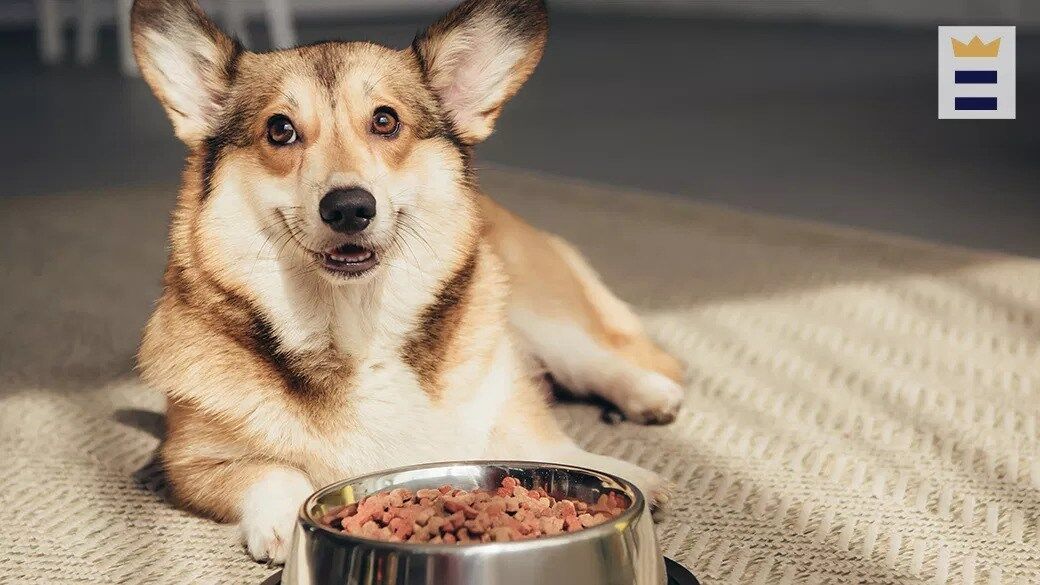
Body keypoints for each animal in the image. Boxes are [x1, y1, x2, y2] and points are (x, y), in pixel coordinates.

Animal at [132, 0, 682, 562]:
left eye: (385, 120)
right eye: (280, 129)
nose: (349, 207)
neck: (354, 328)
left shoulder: (504, 395)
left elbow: (546, 444)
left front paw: (616, 471)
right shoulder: (189, 460)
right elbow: (270, 470)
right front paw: (286, 519)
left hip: (539, 314)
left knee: (601, 359)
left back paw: (650, 395)